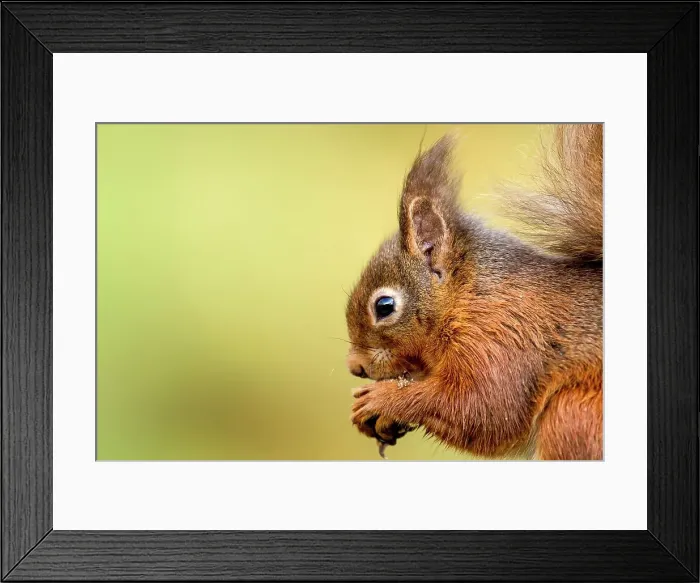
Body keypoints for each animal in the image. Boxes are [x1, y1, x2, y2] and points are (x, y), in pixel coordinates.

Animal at [345, 124, 602, 460]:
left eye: (384, 306)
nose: (355, 367)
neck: (467, 295)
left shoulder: (502, 336)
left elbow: (484, 410)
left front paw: (382, 399)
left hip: (572, 415)